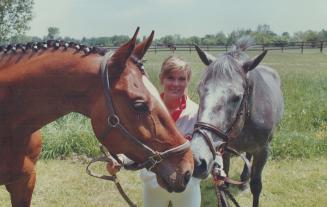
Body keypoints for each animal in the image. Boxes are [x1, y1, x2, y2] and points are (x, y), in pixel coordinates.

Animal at [192, 37, 284, 207]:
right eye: (199, 91)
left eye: (237, 97)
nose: (197, 160)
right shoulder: (225, 150)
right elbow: (224, 184)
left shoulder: (263, 151)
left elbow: (256, 185)